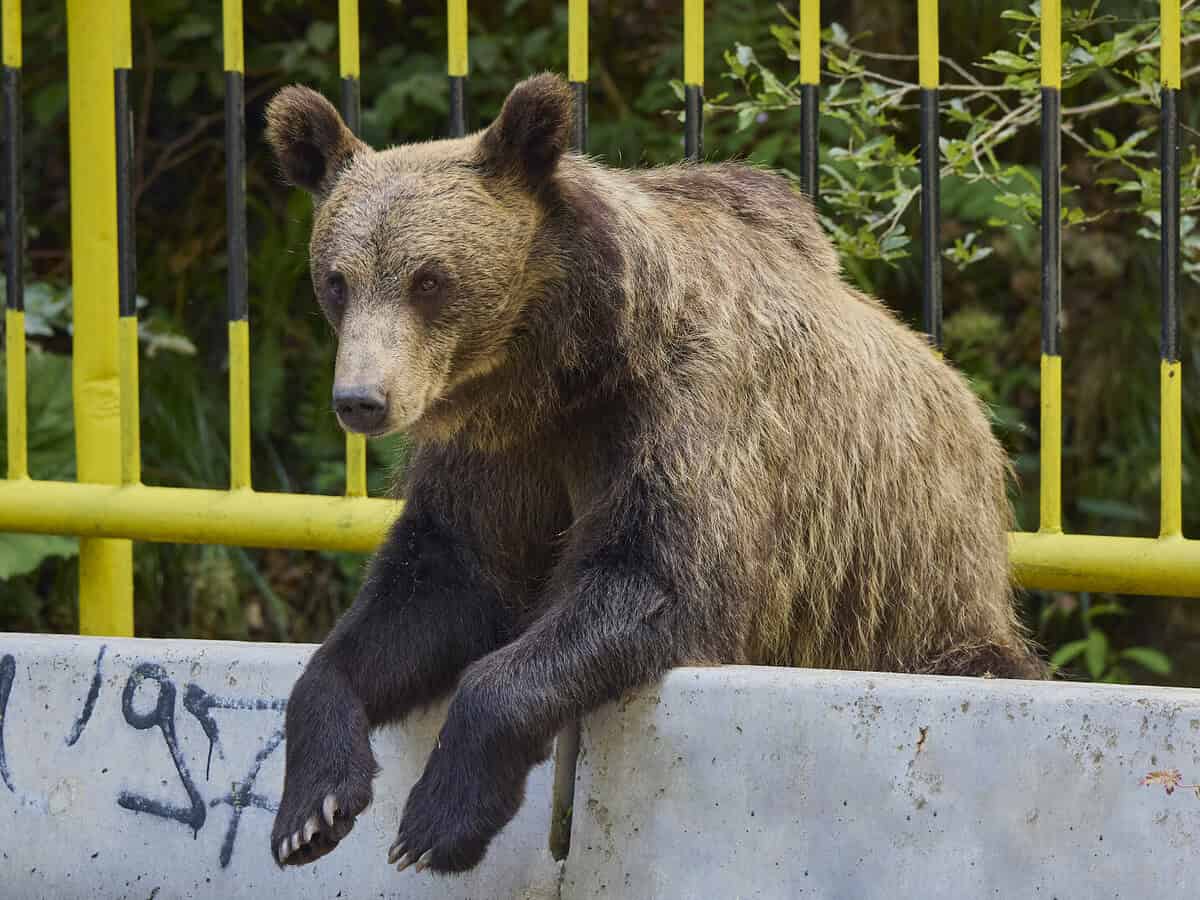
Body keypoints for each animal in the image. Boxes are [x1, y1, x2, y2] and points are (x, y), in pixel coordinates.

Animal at [262, 72, 1041, 883]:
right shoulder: (498, 459)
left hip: (909, 601)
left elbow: (654, 579)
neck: (560, 369)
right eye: (337, 280)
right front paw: (311, 808)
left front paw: (436, 821)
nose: (362, 399)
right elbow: (436, 585)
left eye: (429, 278)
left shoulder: (681, 416)